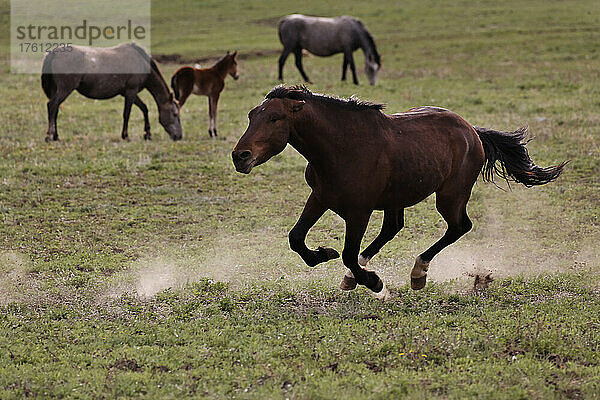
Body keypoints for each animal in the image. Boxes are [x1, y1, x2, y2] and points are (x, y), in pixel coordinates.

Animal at [41, 42, 182, 141]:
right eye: (175, 114)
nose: (179, 136)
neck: (141, 63)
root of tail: (54, 53)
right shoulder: (131, 91)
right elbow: (127, 114)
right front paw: (125, 135)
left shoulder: (128, 93)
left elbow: (144, 109)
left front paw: (147, 134)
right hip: (65, 89)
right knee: (52, 105)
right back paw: (49, 136)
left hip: (57, 89)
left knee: (55, 109)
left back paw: (56, 136)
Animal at [232, 87, 564, 300]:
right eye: (251, 115)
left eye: (275, 118)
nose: (240, 156)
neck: (341, 147)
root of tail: (472, 131)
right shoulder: (321, 198)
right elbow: (296, 238)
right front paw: (324, 254)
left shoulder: (359, 210)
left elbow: (348, 252)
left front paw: (376, 283)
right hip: (397, 198)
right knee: (393, 228)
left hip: (450, 195)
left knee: (459, 227)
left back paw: (418, 273)